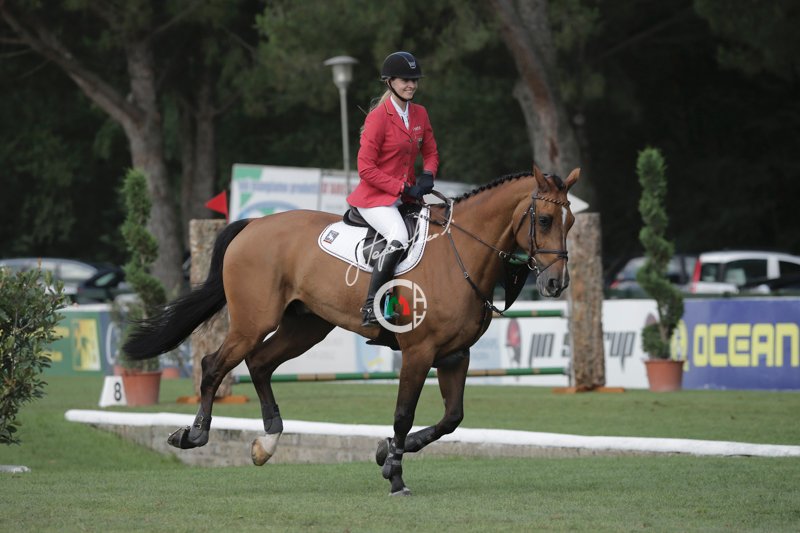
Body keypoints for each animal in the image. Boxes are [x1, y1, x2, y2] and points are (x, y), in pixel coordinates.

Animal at [123, 165, 580, 496]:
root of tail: (252, 225)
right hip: (254, 322)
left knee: (260, 363)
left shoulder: (455, 355)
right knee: (214, 364)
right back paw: (195, 434)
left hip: (306, 326)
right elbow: (403, 414)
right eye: (543, 220)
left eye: (572, 221)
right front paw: (394, 473)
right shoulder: (419, 352)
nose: (556, 284)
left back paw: (267, 442)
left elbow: (451, 418)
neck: (461, 255)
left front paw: (386, 451)